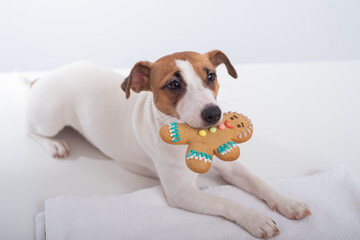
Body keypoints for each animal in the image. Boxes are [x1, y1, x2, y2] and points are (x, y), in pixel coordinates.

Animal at [26, 50, 310, 238]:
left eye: (211, 76)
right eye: (174, 84)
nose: (214, 113)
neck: (197, 138)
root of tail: (43, 78)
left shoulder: (231, 166)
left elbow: (259, 182)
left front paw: (288, 203)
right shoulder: (181, 193)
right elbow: (225, 202)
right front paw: (254, 218)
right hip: (49, 120)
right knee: (29, 130)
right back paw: (54, 145)